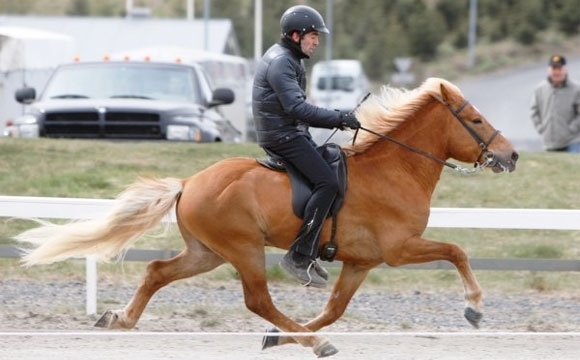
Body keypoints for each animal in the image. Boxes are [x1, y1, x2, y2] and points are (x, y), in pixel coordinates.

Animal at [15, 78, 520, 358]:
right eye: (475, 120)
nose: (511, 155)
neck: (396, 168)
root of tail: (190, 183)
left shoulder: (362, 262)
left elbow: (333, 310)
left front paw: (279, 339)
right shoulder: (399, 250)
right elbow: (457, 250)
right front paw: (475, 307)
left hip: (207, 253)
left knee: (157, 271)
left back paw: (119, 319)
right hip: (243, 249)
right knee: (257, 299)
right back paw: (313, 345)